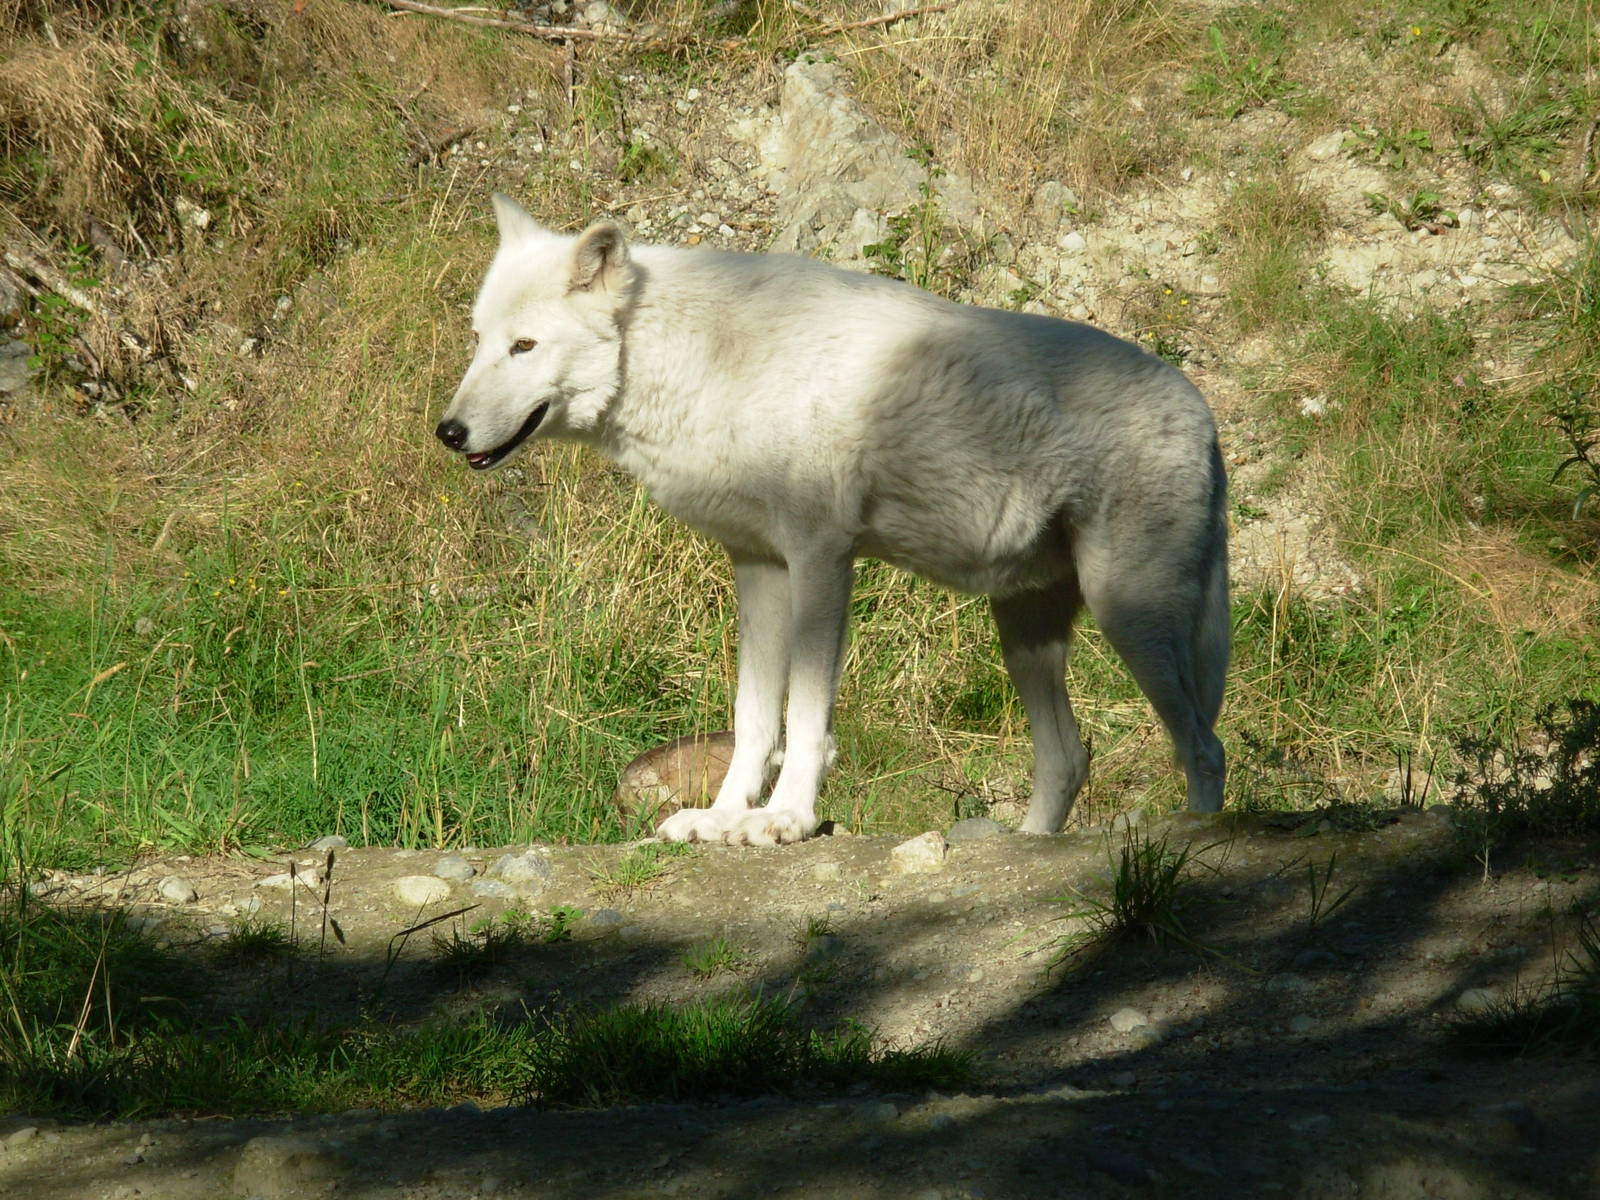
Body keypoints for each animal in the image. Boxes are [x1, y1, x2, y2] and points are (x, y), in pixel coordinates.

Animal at [436, 194, 1229, 845]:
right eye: (477, 340)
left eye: (524, 346)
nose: (447, 431)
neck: (704, 359)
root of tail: (1203, 411)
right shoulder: (757, 566)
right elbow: (755, 717)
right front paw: (722, 819)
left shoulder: (822, 558)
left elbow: (806, 714)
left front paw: (785, 819)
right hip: (1026, 637)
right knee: (1068, 759)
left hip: (1130, 615)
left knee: (1203, 743)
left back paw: (1201, 837)